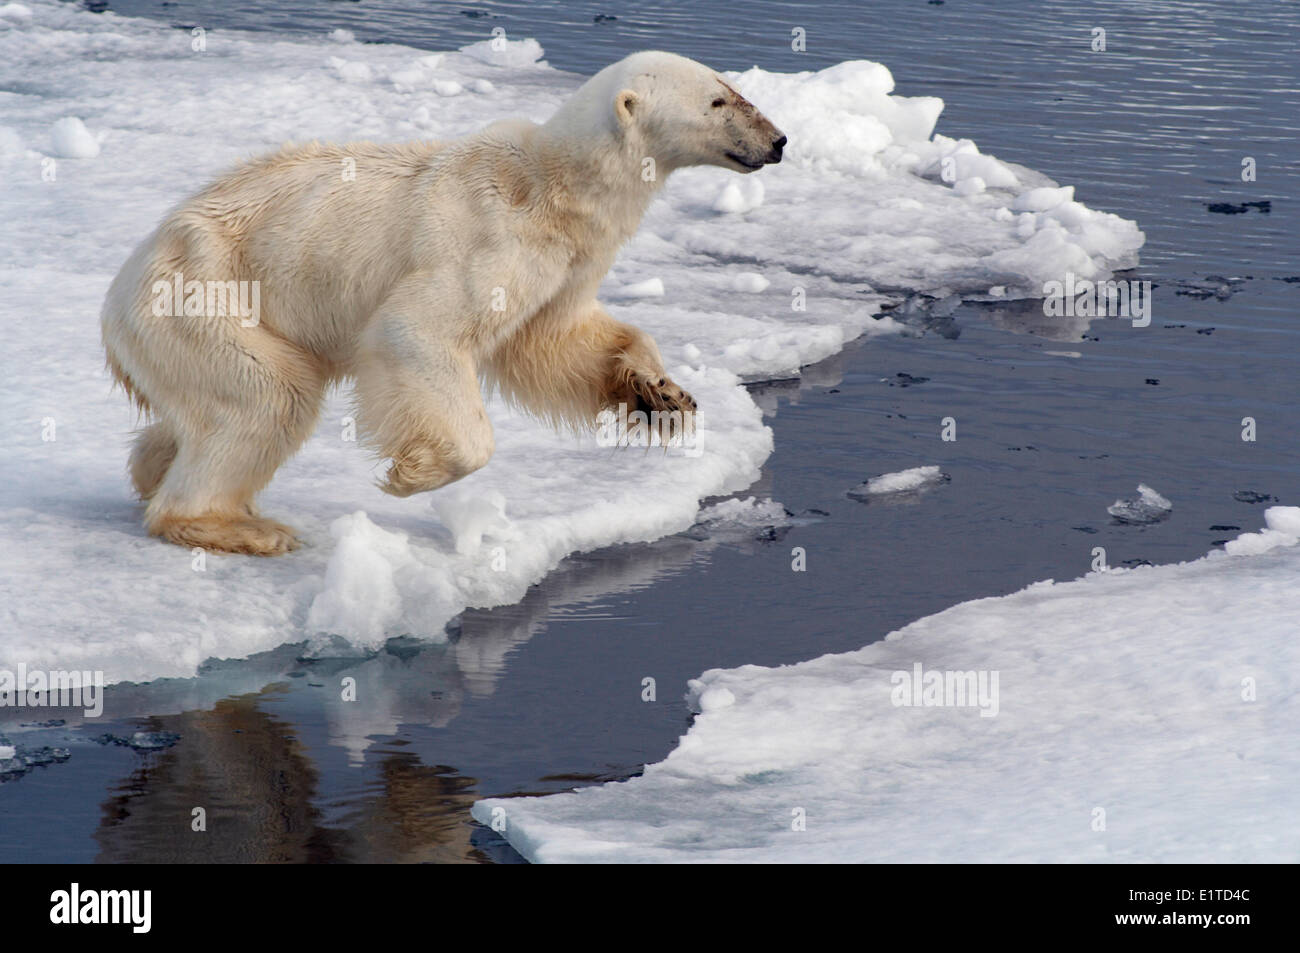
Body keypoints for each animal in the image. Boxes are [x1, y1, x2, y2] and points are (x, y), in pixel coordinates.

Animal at [101, 52, 785, 553]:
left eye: (732, 86)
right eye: (719, 100)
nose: (778, 140)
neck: (553, 184)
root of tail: (119, 296)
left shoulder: (566, 263)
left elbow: (552, 340)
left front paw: (662, 394)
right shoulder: (492, 238)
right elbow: (420, 330)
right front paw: (413, 473)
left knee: (208, 408)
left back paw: (154, 467)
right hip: (205, 294)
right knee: (268, 396)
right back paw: (239, 526)